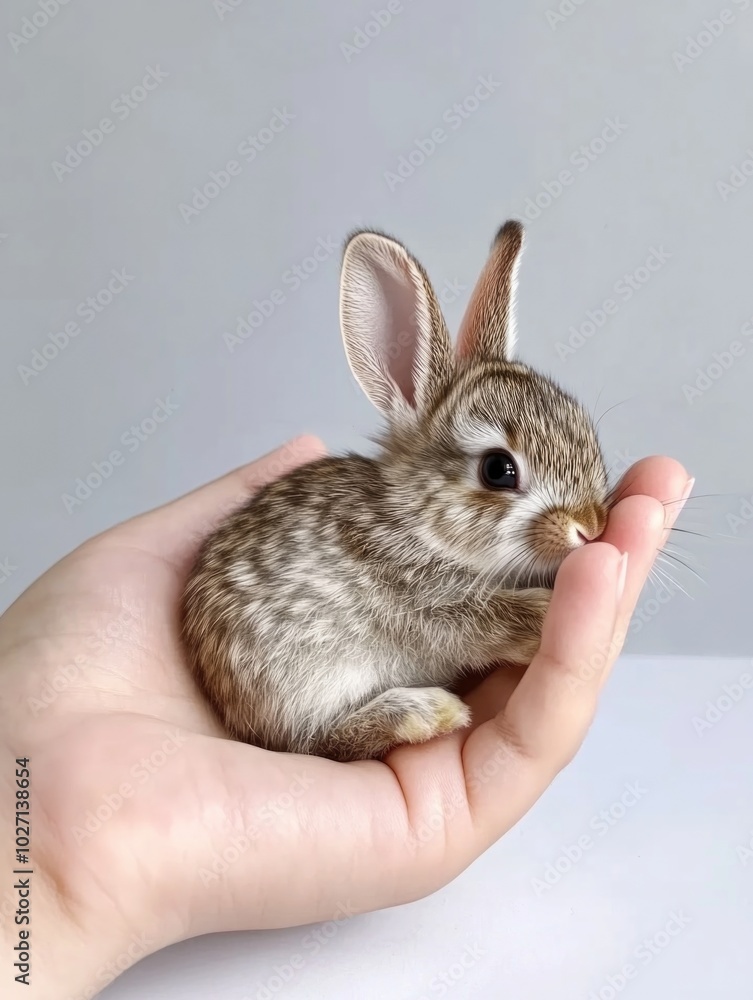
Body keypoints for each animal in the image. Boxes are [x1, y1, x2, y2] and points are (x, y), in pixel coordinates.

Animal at [181, 220, 610, 763]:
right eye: (499, 470)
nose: (590, 527)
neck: (418, 523)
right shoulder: (420, 597)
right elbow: (485, 620)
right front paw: (543, 613)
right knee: (319, 743)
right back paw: (423, 713)